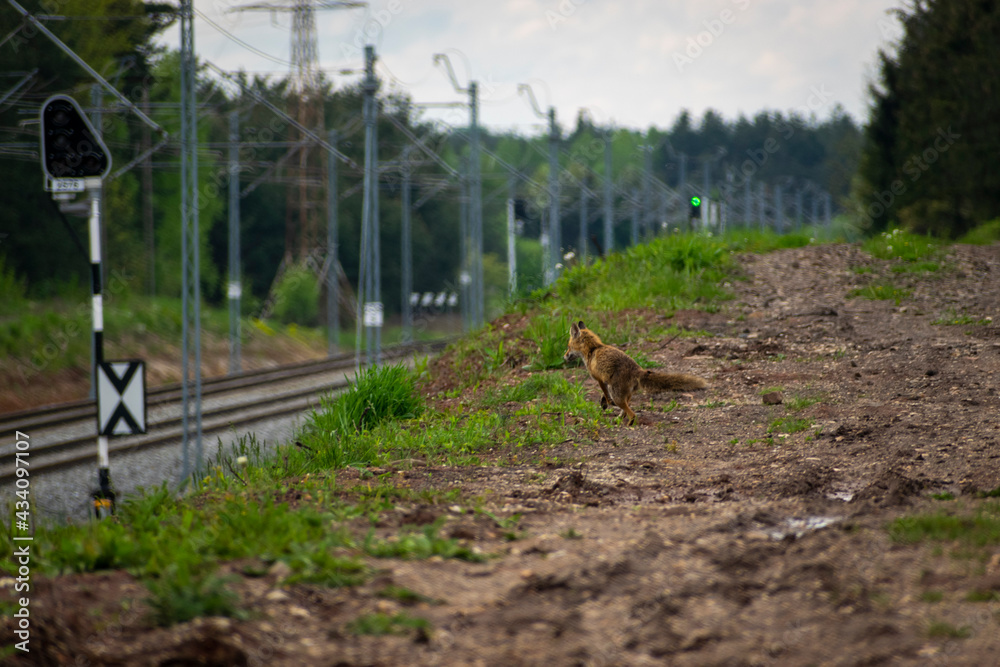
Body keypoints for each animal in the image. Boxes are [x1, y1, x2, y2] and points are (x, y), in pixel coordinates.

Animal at [564, 320, 708, 426]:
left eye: (568, 346)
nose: (564, 357)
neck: (593, 349)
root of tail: (638, 370)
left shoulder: (599, 379)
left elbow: (605, 393)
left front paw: (607, 403)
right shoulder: (606, 382)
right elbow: (604, 395)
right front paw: (604, 402)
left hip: (617, 394)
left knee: (631, 413)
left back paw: (629, 424)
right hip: (626, 394)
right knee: (626, 409)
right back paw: (619, 419)